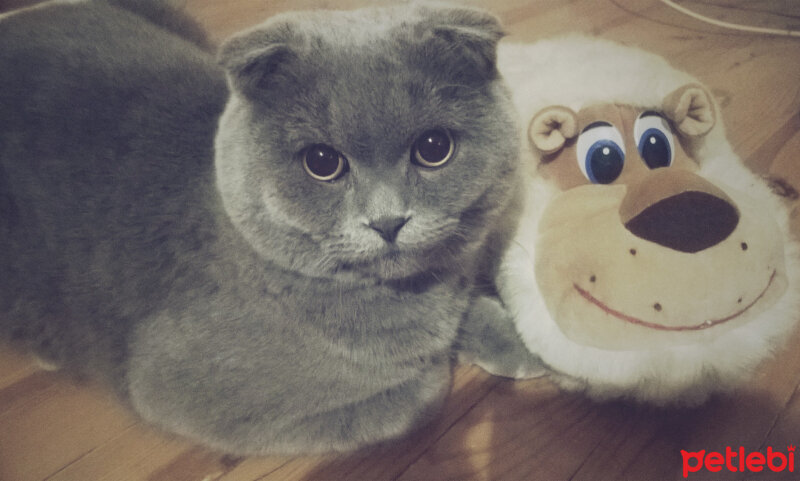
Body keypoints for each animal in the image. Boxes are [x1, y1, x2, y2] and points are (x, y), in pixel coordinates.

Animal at [0, 0, 536, 454]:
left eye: (433, 148)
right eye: (322, 162)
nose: (388, 221)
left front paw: (521, 346)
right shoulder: (172, 389)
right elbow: (421, 393)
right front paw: (440, 365)